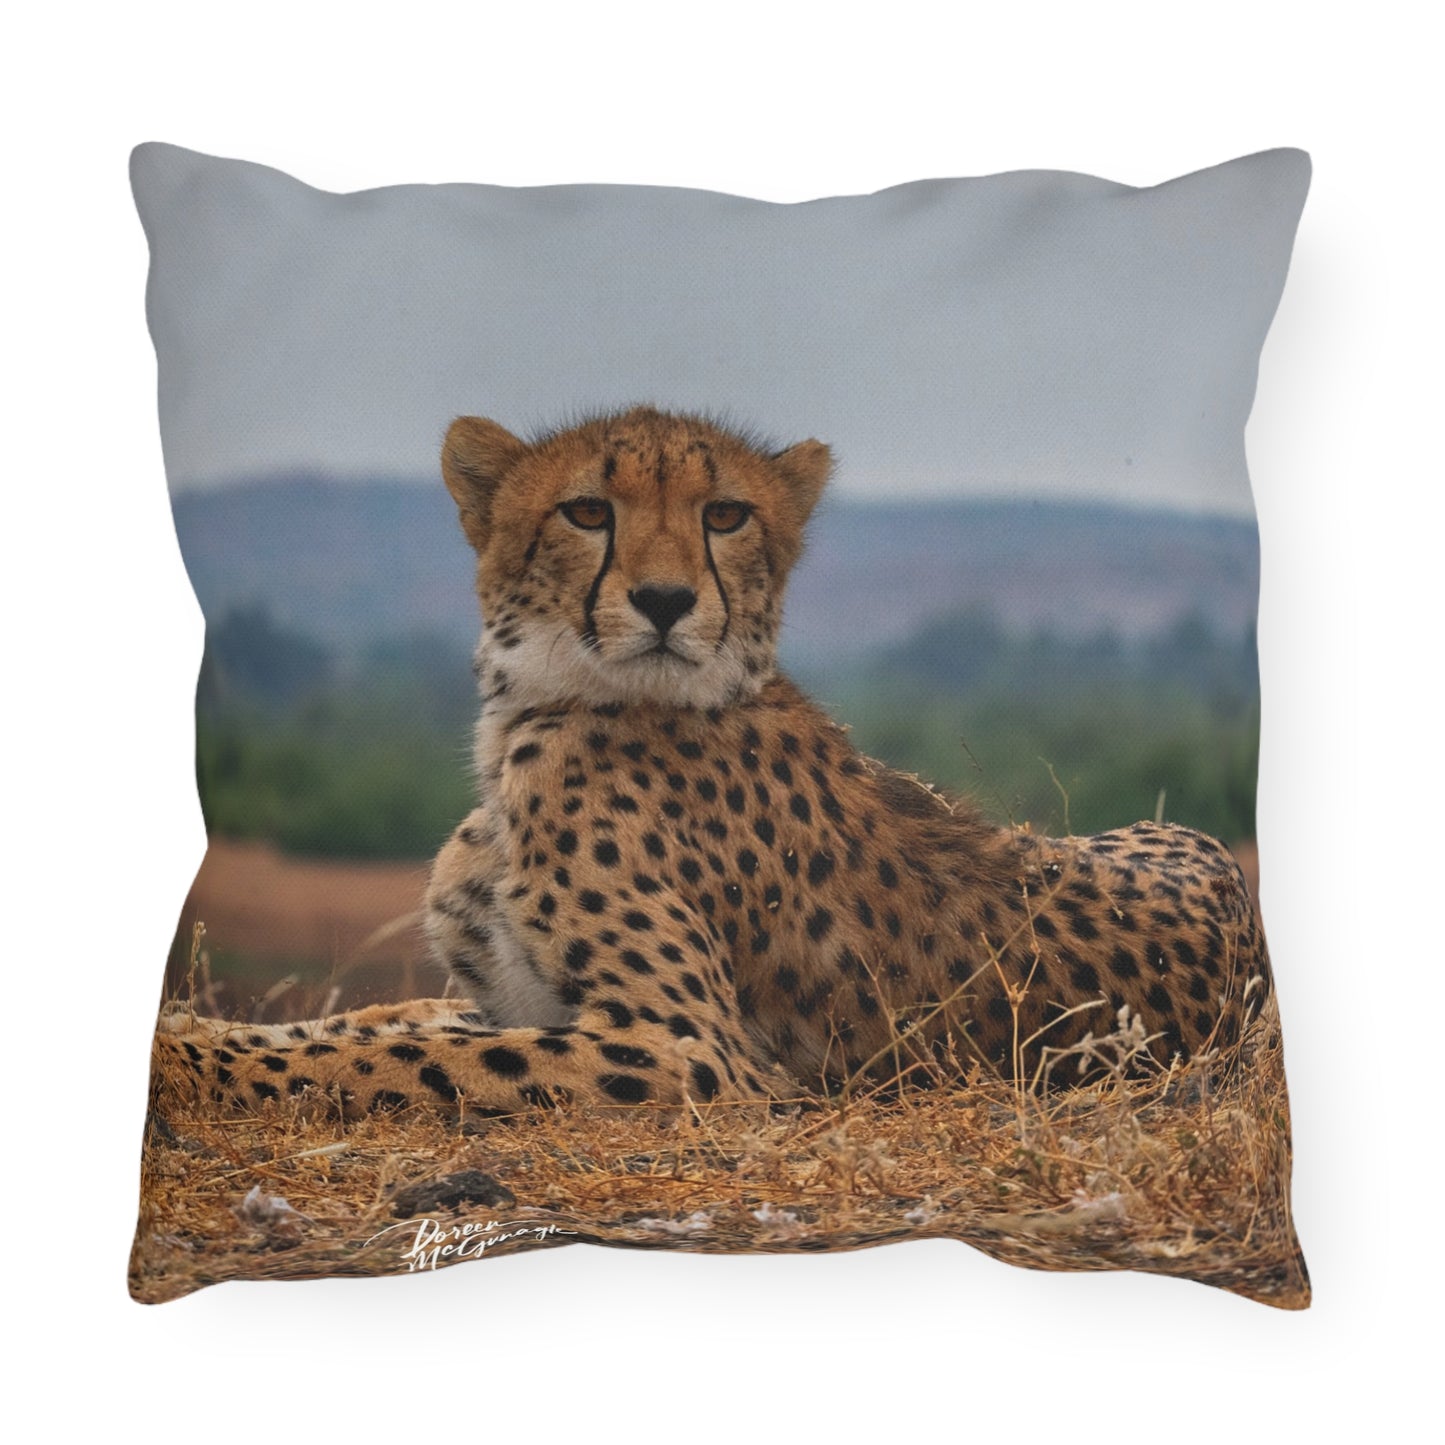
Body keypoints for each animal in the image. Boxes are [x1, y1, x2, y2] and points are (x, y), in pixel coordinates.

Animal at [156, 406, 1272, 1118]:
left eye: (724, 514)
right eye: (586, 511)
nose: (662, 600)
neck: (539, 714)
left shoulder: (687, 1049)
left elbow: (399, 1053)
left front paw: (188, 1062)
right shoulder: (512, 997)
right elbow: (373, 1021)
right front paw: (188, 1033)